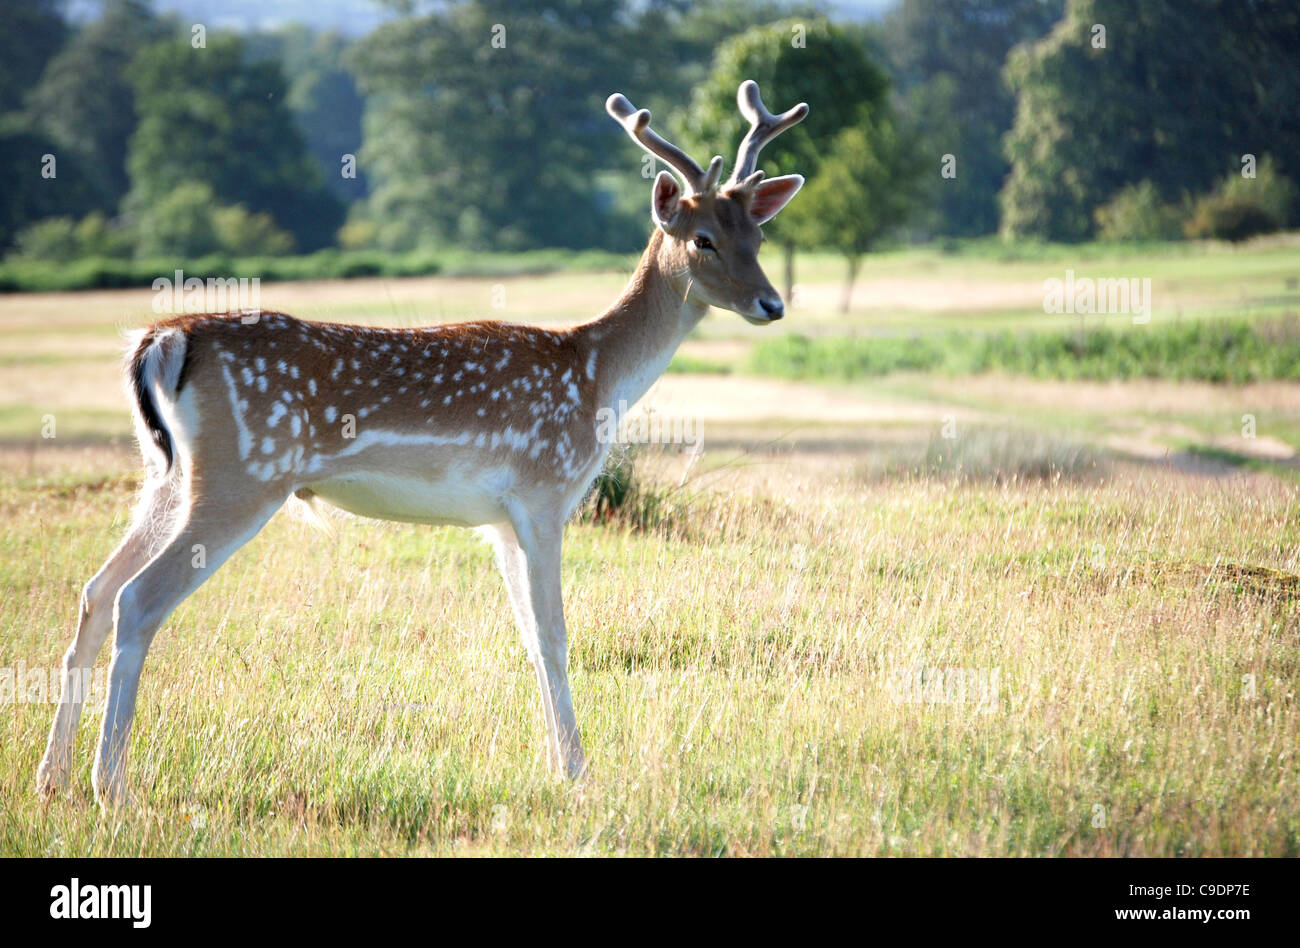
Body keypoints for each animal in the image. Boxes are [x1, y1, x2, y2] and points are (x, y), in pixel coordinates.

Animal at [35, 81, 806, 811]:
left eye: (758, 236)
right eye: (702, 238)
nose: (773, 305)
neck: (596, 374)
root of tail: (164, 340)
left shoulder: (499, 520)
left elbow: (528, 636)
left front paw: (559, 764)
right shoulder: (543, 491)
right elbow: (554, 635)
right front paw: (579, 773)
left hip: (164, 475)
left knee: (96, 589)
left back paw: (53, 779)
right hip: (243, 475)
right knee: (138, 598)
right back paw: (110, 785)